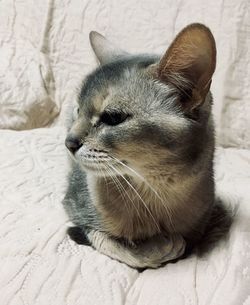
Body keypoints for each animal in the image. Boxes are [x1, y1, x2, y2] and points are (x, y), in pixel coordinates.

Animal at [63, 22, 219, 268]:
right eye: (77, 110)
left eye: (113, 117)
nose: (69, 142)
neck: (154, 194)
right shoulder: (77, 211)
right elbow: (116, 246)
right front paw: (161, 246)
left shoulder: (202, 227)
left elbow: (188, 241)